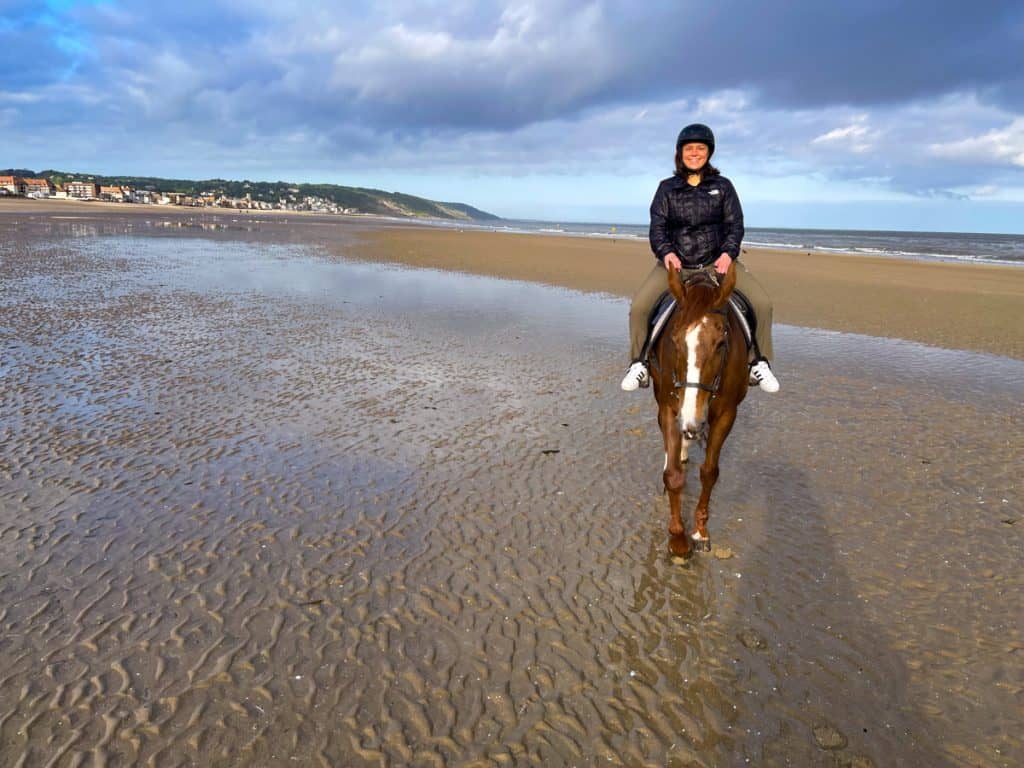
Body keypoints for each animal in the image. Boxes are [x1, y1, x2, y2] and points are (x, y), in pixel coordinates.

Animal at [651, 264, 749, 561]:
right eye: (674, 340)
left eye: (721, 343)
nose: (691, 418)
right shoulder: (669, 408)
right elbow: (673, 475)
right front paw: (678, 541)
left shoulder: (727, 414)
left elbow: (709, 472)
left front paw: (700, 532)